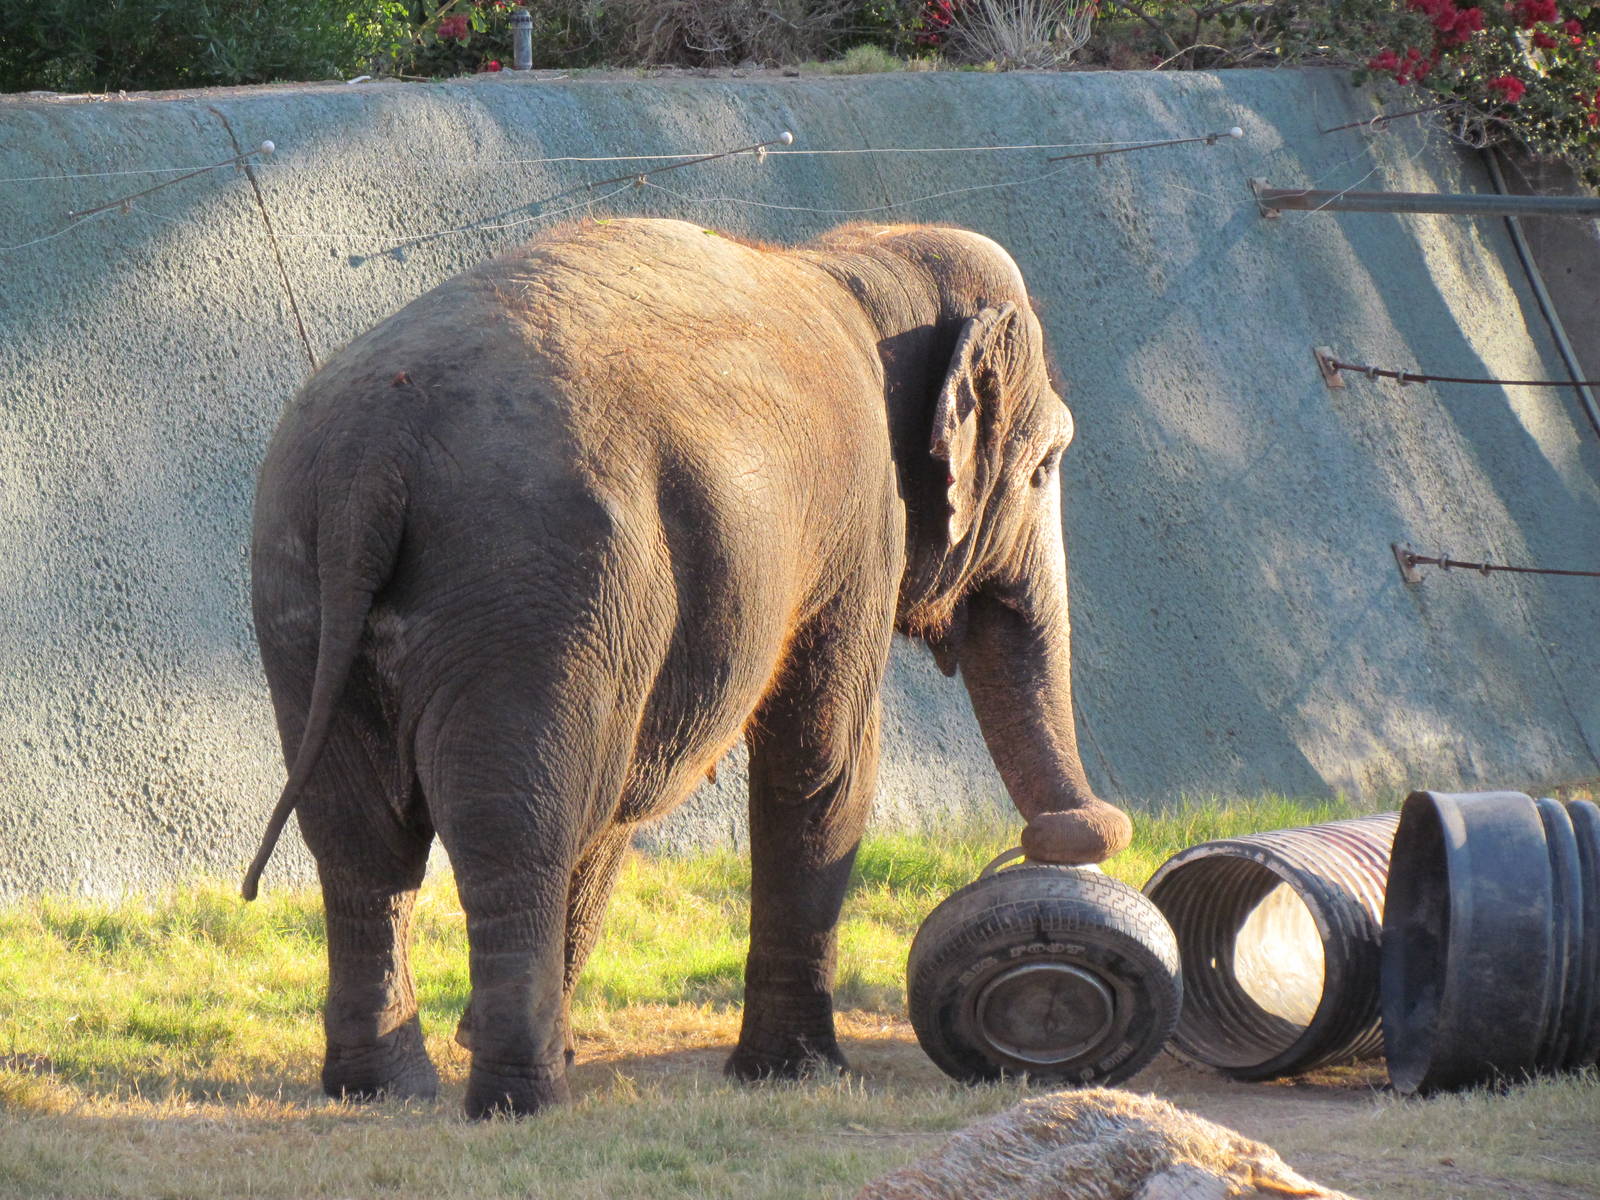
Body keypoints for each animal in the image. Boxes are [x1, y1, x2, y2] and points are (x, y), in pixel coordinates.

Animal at [243, 216, 1132, 1119]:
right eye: (1046, 468)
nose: (1067, 836)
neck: (858, 260)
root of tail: (374, 458)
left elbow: (622, 805)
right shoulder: (857, 528)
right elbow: (824, 765)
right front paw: (797, 1073)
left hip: (302, 585)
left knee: (362, 839)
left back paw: (384, 1088)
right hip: (536, 589)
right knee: (516, 829)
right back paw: (519, 1098)